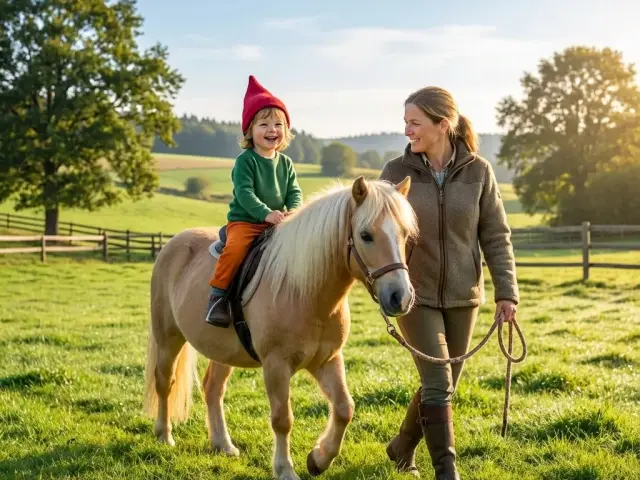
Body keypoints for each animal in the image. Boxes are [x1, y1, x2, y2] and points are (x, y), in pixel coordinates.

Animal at [143, 175, 418, 480]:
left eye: (405, 234)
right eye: (366, 235)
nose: (401, 297)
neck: (304, 292)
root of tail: (172, 244)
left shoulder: (327, 360)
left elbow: (345, 408)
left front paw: (319, 459)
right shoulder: (276, 366)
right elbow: (282, 419)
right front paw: (285, 468)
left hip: (222, 351)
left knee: (213, 388)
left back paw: (222, 444)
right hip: (168, 336)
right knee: (164, 381)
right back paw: (164, 435)